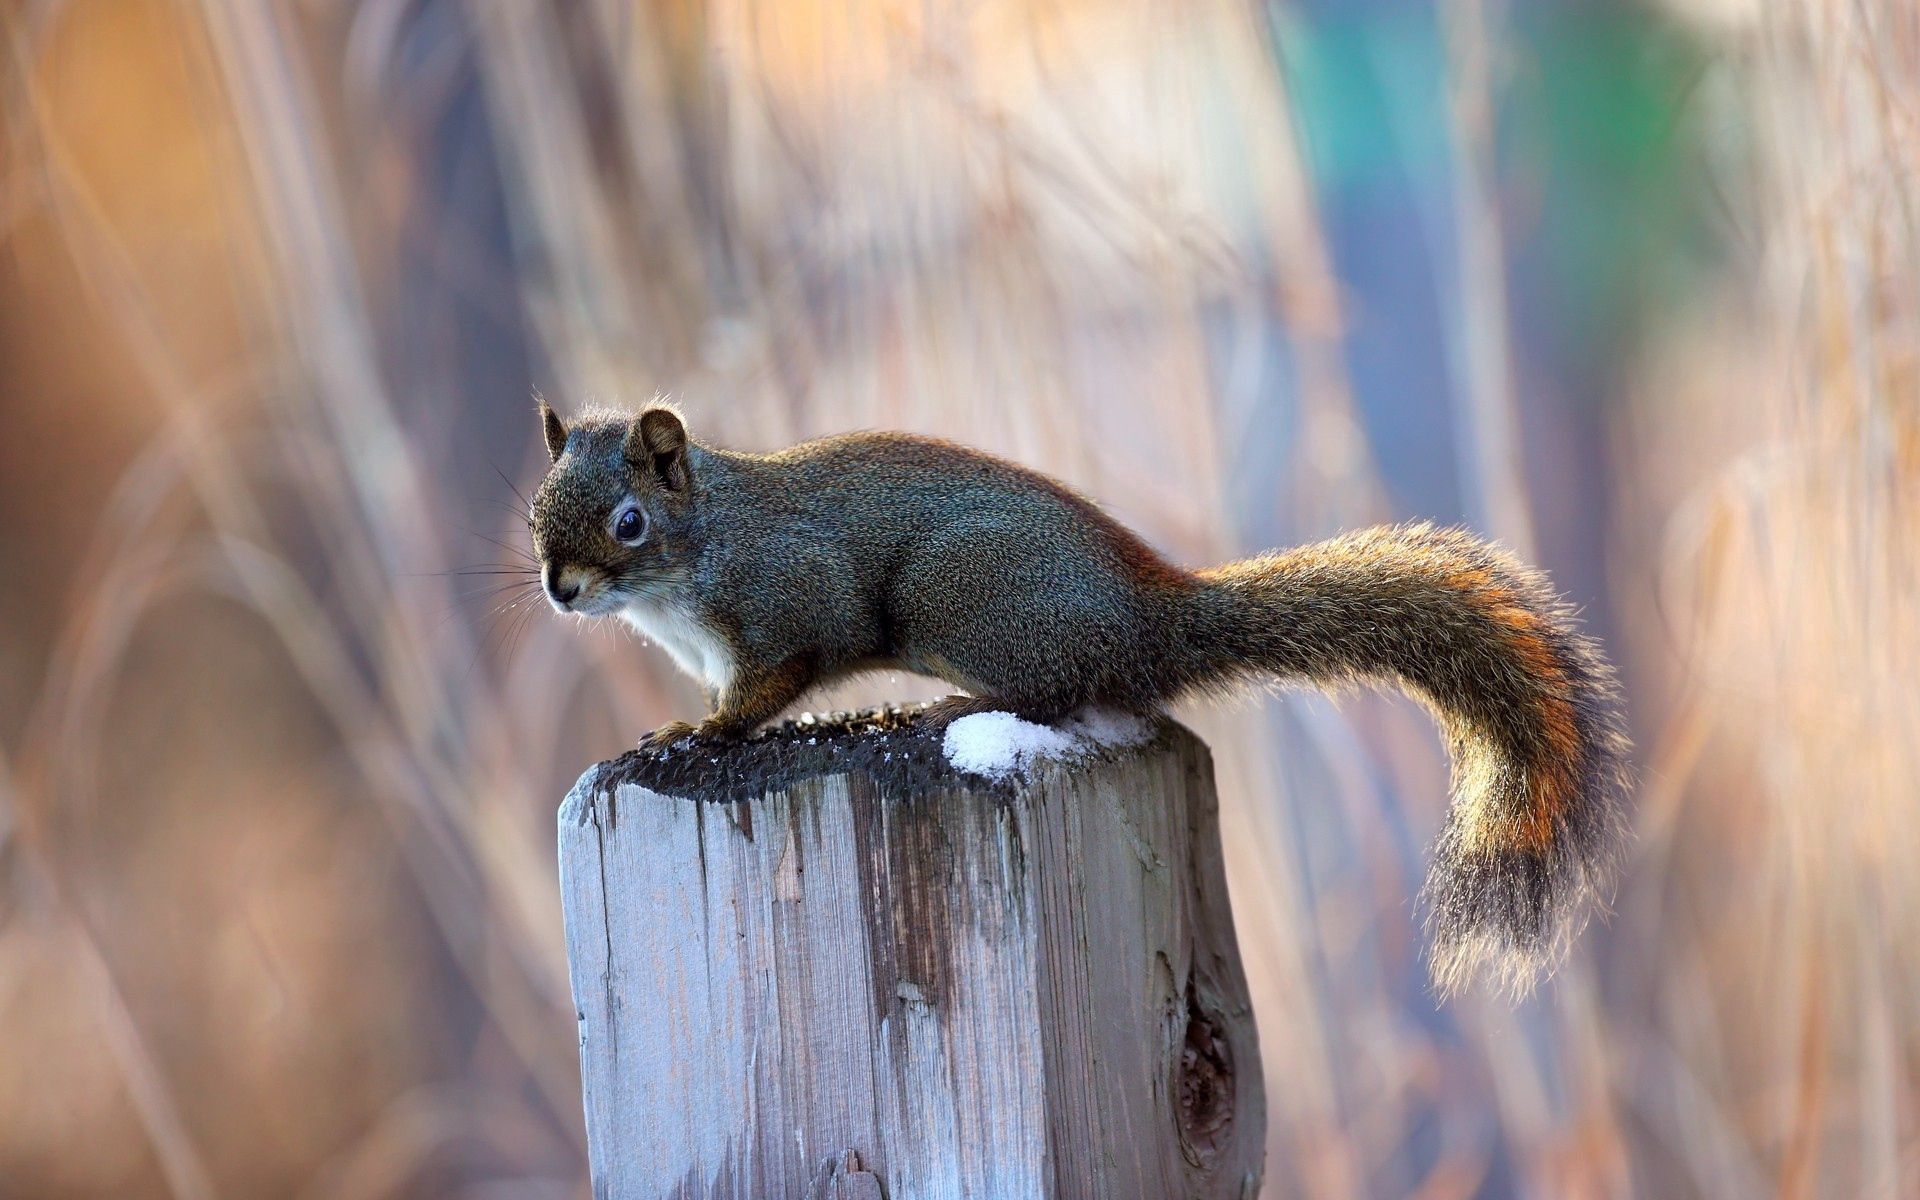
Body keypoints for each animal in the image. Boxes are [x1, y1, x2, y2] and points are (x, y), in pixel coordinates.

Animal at [533, 403, 1628, 990]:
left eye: (629, 521)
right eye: (536, 513)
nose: (559, 589)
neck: (696, 556)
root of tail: (1148, 614)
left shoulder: (788, 604)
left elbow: (769, 686)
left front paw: (693, 733)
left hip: (959, 598)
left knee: (1058, 691)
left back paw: (949, 714)